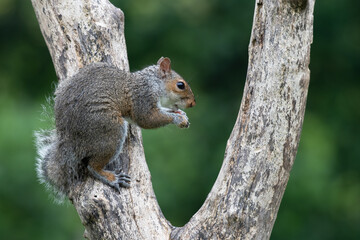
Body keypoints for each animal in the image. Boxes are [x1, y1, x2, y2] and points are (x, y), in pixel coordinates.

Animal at [35, 56, 195, 201]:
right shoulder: (142, 97)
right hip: (110, 131)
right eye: (181, 85)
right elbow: (147, 119)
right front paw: (177, 119)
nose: (193, 103)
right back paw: (111, 178)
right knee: (92, 166)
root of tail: (68, 141)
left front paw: (181, 114)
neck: (152, 81)